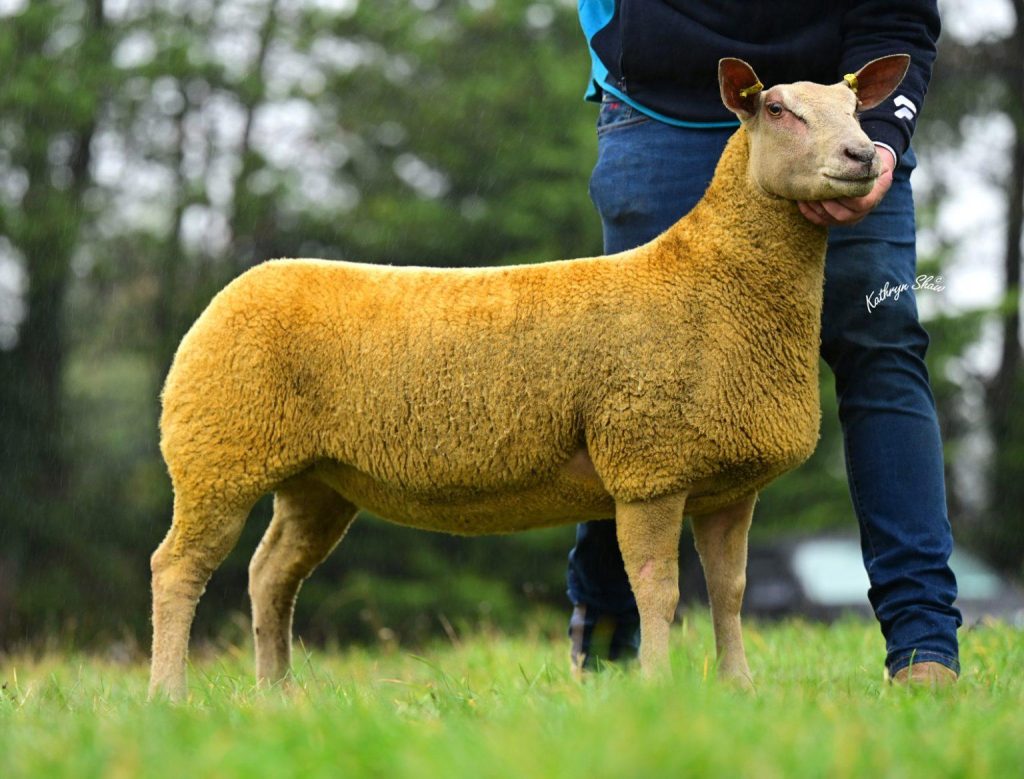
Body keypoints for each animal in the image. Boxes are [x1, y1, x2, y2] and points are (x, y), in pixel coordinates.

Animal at [148, 55, 911, 701]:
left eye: (855, 107)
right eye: (778, 109)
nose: (861, 157)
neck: (713, 281)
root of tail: (241, 285)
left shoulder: (730, 480)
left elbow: (730, 591)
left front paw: (739, 690)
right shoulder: (648, 467)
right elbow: (658, 591)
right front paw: (658, 689)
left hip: (317, 478)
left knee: (270, 573)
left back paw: (276, 695)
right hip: (216, 452)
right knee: (178, 568)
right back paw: (169, 697)